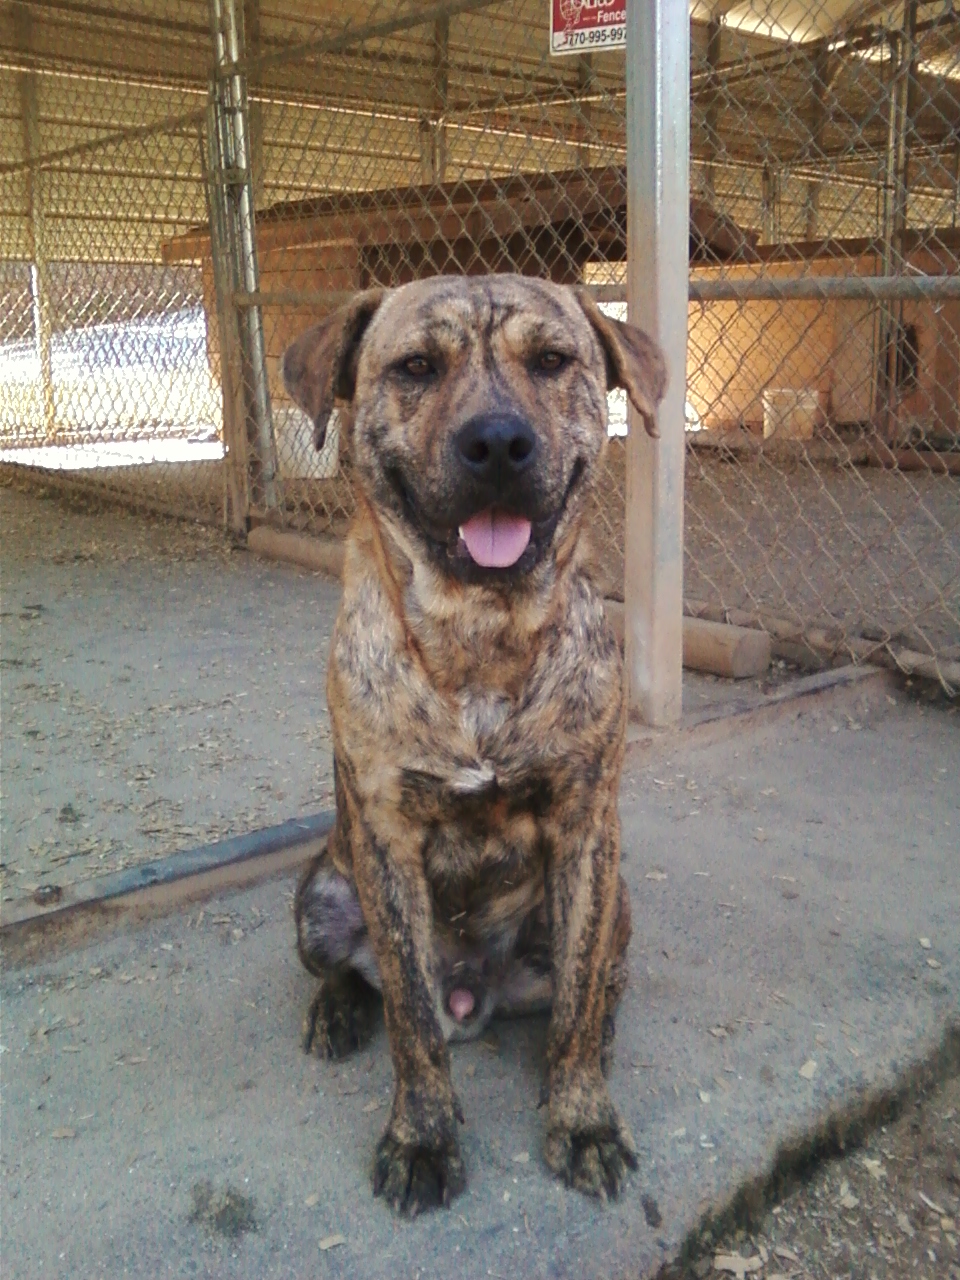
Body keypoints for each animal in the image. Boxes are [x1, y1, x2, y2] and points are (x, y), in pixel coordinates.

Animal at [281, 275, 665, 1213]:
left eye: (553, 361)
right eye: (416, 367)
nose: (497, 443)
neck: (482, 633)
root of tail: (476, 994)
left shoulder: (584, 826)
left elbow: (574, 1005)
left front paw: (582, 1119)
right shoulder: (385, 838)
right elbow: (412, 1020)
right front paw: (421, 1138)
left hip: (613, 899)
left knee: (594, 985)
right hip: (320, 897)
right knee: (364, 976)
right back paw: (338, 1012)